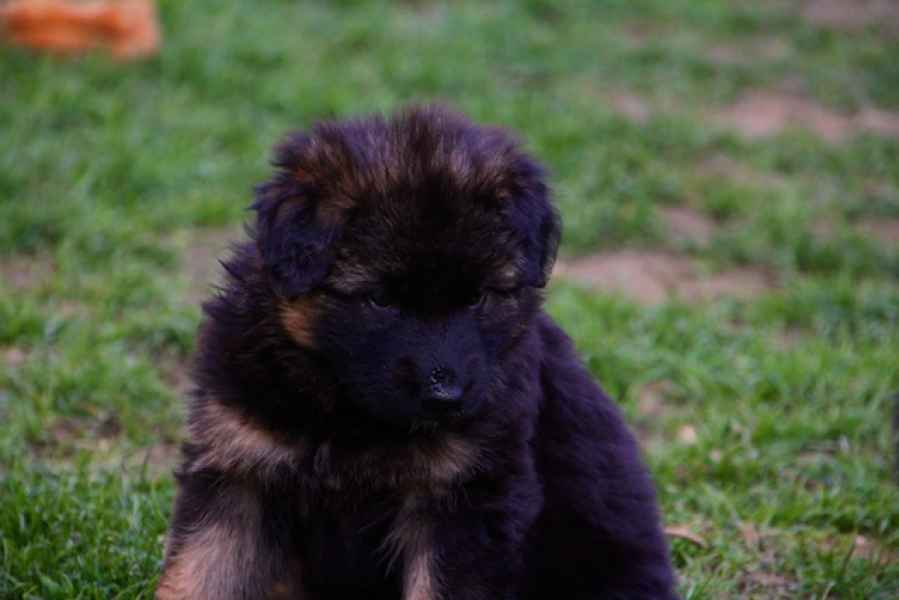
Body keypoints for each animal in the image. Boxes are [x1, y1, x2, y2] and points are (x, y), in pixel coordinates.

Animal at [157, 105, 677, 599]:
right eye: (380, 299)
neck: (347, 416)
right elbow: (199, 575)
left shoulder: (463, 498)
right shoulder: (237, 468)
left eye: (477, 297)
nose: (446, 396)